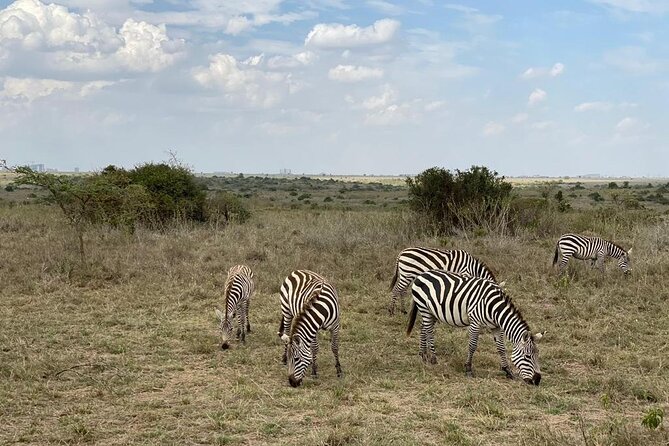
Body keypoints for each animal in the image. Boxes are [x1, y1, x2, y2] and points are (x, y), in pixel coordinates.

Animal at [404, 270, 540, 386]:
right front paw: (468, 369)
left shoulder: (496, 327)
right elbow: (472, 346)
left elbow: (501, 348)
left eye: (537, 355)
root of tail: (421, 274)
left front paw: (508, 371)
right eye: (527, 356)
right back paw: (433, 358)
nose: (537, 380)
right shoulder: (475, 322)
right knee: (429, 331)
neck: (494, 308)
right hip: (424, 308)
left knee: (423, 328)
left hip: (431, 311)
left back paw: (423, 355)